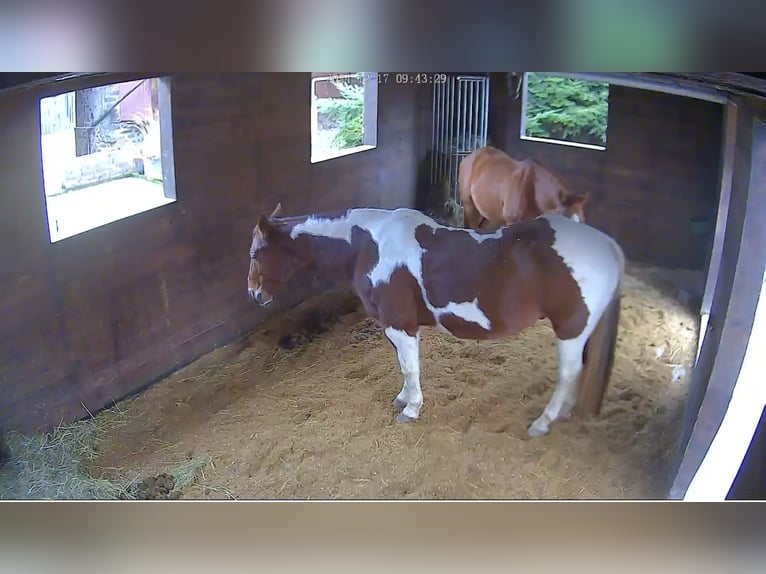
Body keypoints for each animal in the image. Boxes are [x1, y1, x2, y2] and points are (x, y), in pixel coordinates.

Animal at [247, 203, 624, 437]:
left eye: (255, 253)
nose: (254, 294)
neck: (368, 243)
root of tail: (608, 246)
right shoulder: (397, 327)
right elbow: (404, 367)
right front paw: (403, 399)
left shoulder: (400, 325)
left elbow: (409, 367)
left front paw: (411, 409)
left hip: (570, 329)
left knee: (568, 373)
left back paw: (543, 423)